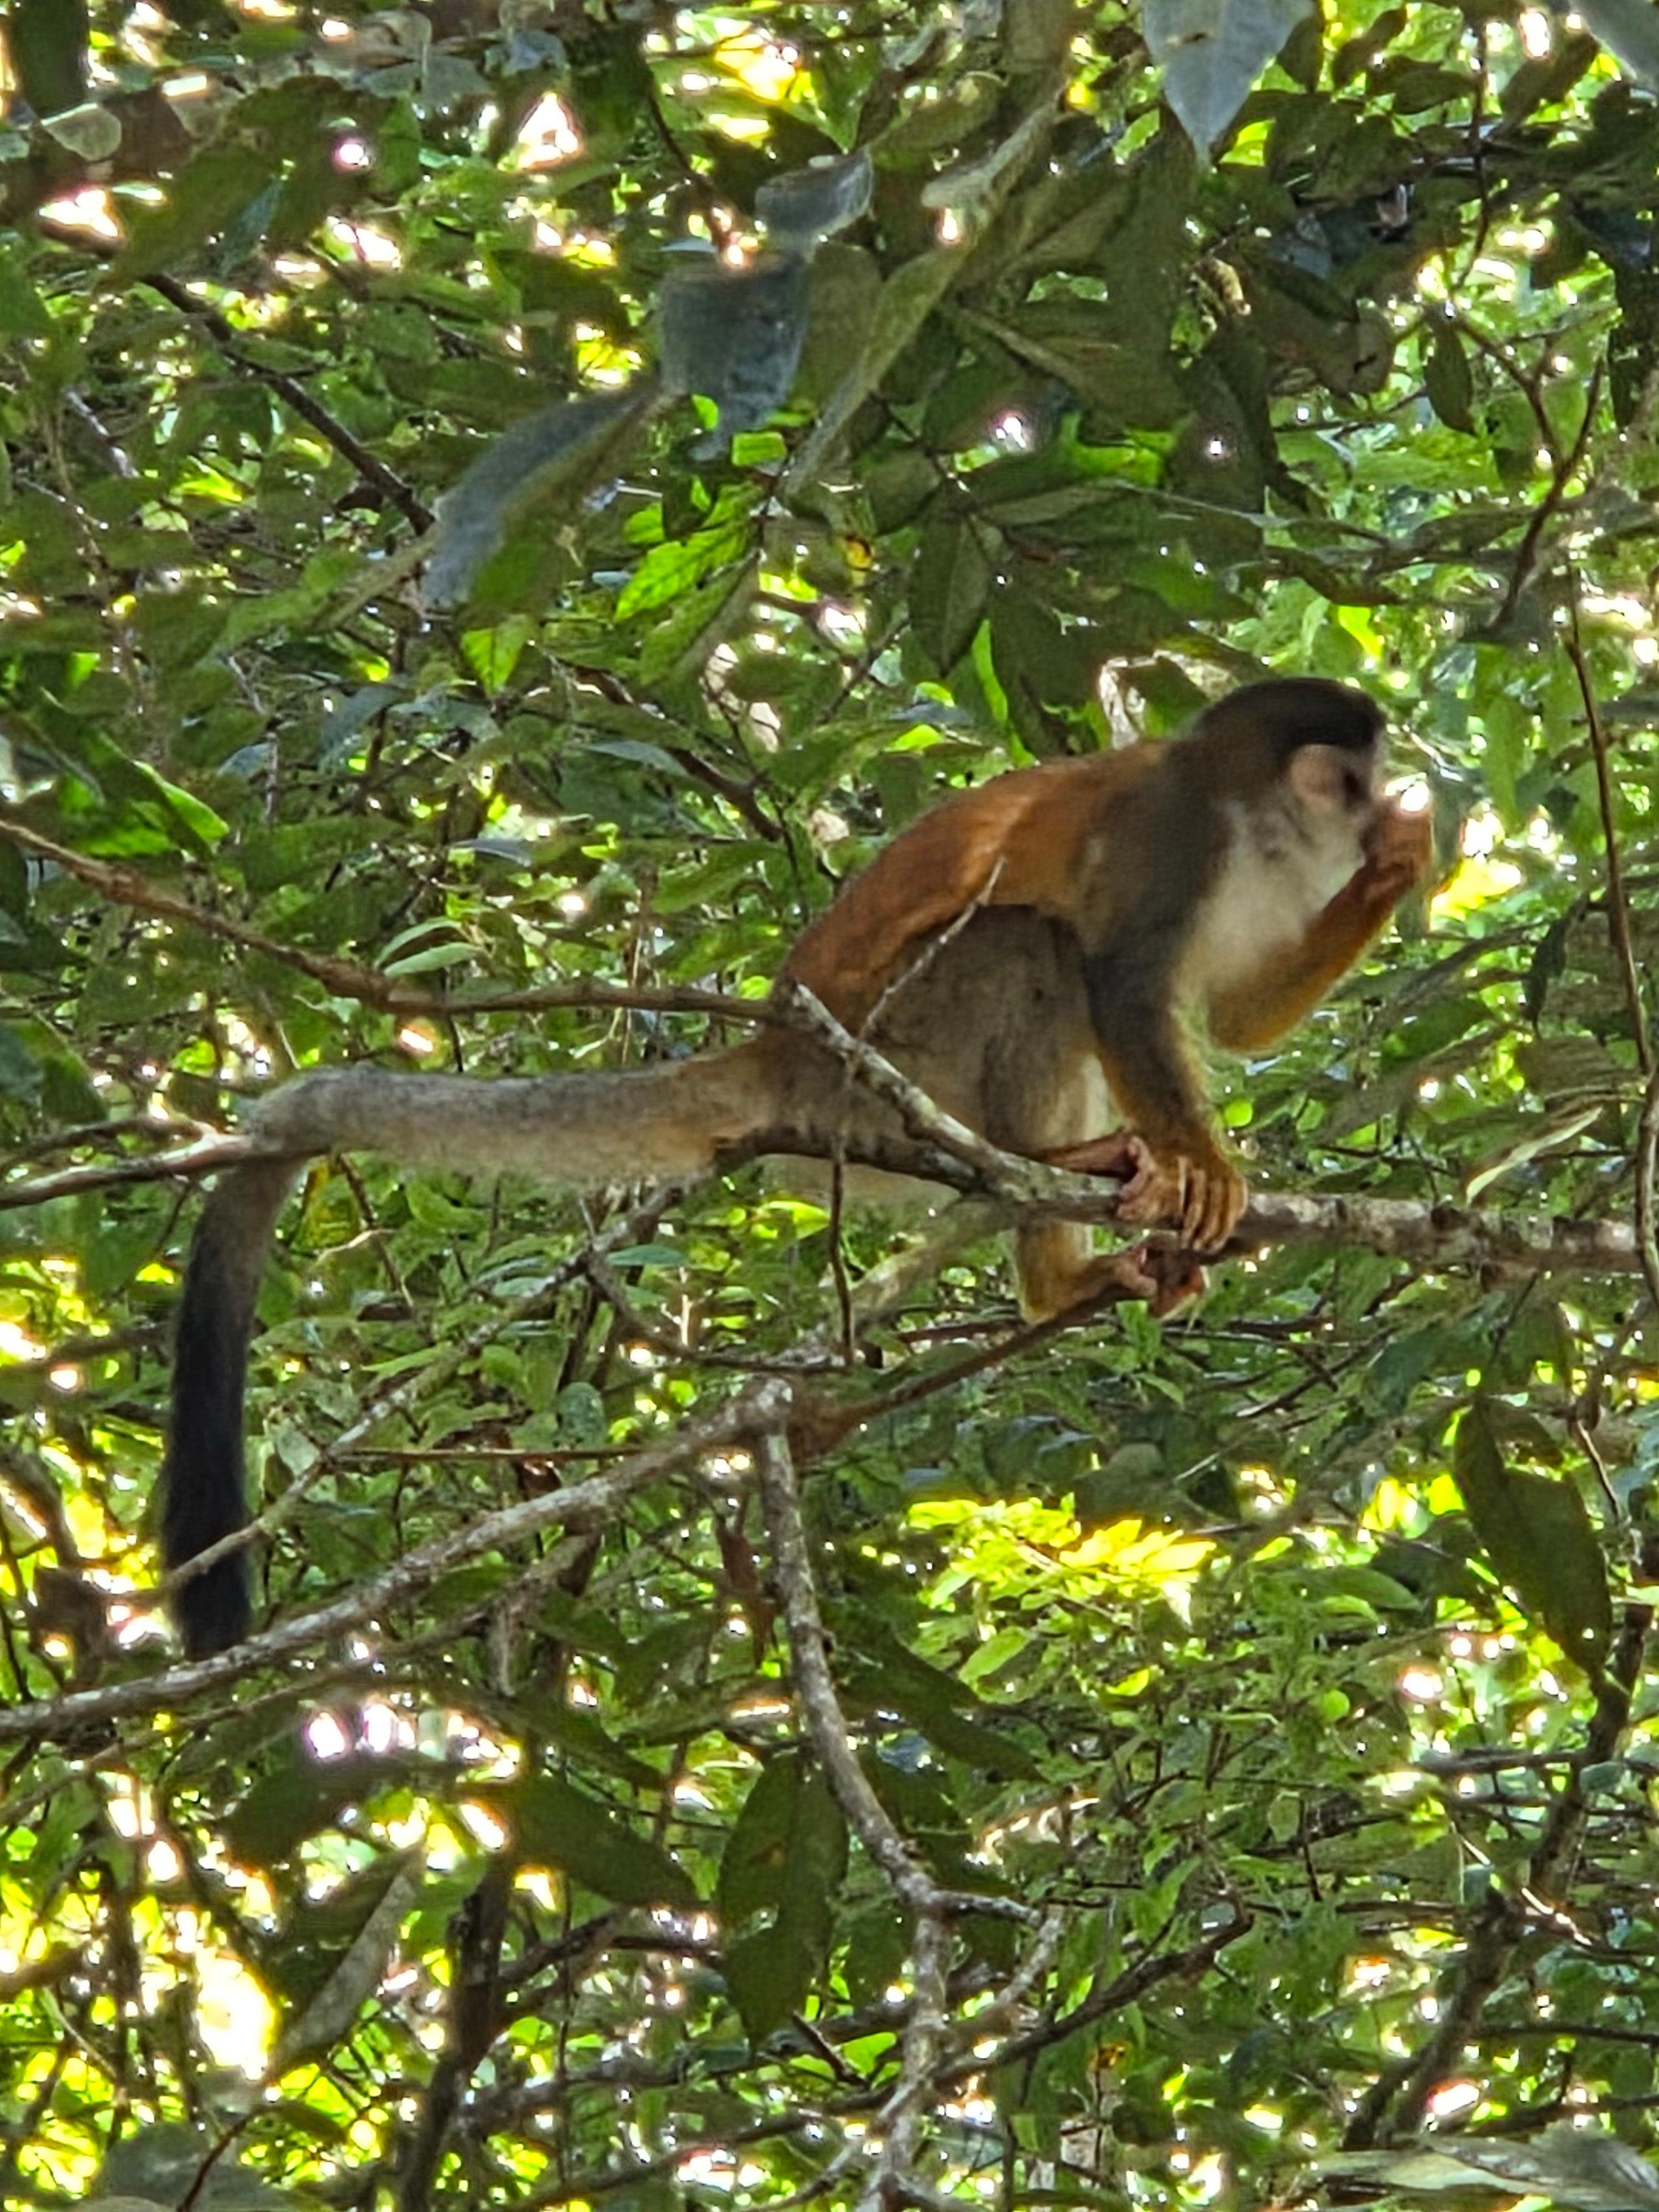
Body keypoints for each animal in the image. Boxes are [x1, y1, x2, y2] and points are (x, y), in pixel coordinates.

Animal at [161, 676, 1431, 1657]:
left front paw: (1393, 871)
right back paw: (1056, 1176)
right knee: (1033, 943)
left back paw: (1066, 1266)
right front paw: (1202, 1167)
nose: (1381, 810)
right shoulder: (1179, 839)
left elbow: (1239, 1017)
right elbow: (1123, 988)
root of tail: (778, 1051)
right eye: (1355, 778)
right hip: (880, 1070)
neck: (1255, 831)